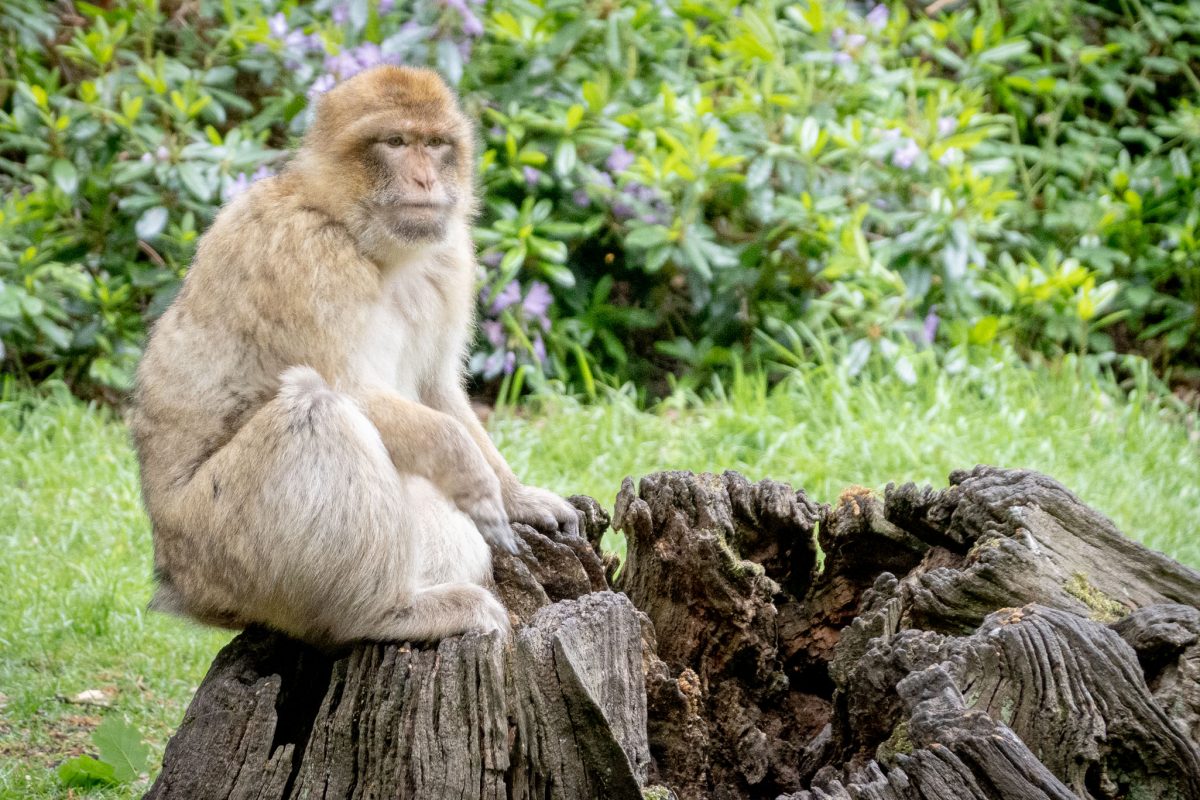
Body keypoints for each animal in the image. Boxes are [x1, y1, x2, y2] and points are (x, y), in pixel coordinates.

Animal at [128, 65, 581, 649]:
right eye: (396, 143)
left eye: (436, 145)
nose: (425, 181)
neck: (361, 237)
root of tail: (174, 581)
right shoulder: (305, 254)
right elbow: (350, 389)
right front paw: (470, 470)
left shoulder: (451, 256)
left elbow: (437, 387)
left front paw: (517, 495)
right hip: (222, 550)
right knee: (317, 410)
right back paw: (386, 611)